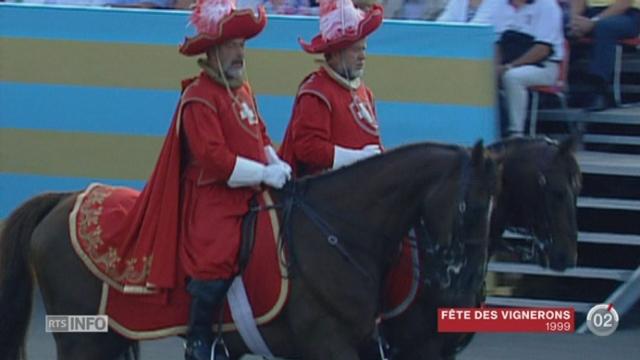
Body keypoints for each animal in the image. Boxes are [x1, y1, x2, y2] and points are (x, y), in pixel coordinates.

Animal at [0, 141, 500, 360]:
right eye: (471, 206)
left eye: (494, 205)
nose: (466, 288)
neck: (338, 231)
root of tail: (65, 199)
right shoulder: (330, 343)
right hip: (83, 339)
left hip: (111, 340)